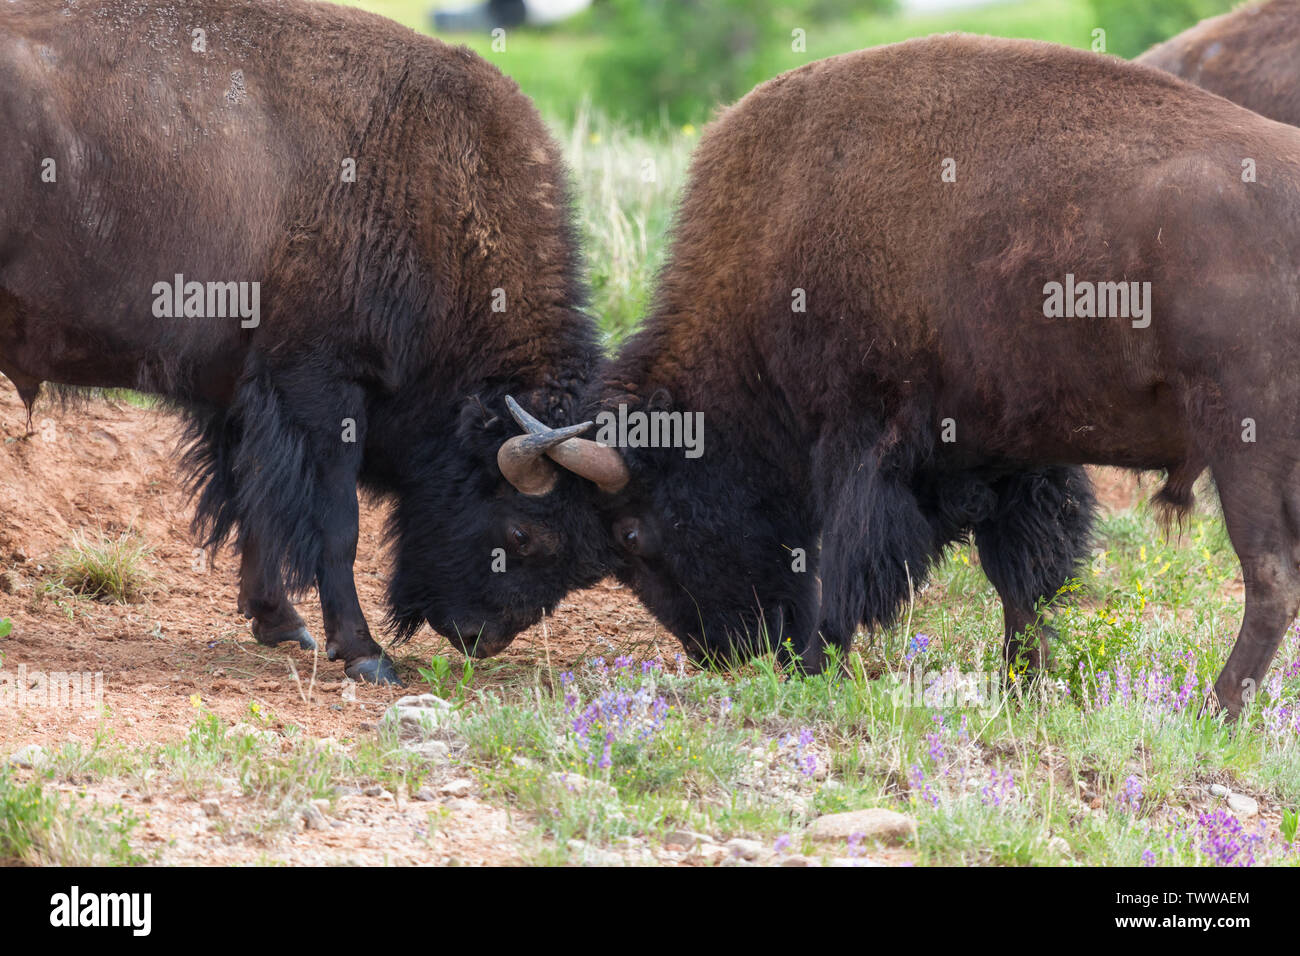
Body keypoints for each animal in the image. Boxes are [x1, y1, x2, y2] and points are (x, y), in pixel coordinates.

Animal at [0, 0, 618, 681]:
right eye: (523, 534)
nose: (479, 637)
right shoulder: (322, 388)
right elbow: (334, 525)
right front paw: (365, 654)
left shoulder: (241, 398)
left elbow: (254, 504)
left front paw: (279, 622)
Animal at [528, 35, 1300, 718]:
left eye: (633, 534)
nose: (724, 651)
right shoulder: (1010, 459)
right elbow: (1022, 581)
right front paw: (1022, 688)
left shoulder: (862, 441)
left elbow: (848, 568)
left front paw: (816, 666)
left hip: (1245, 446)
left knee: (1271, 580)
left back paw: (1216, 710)